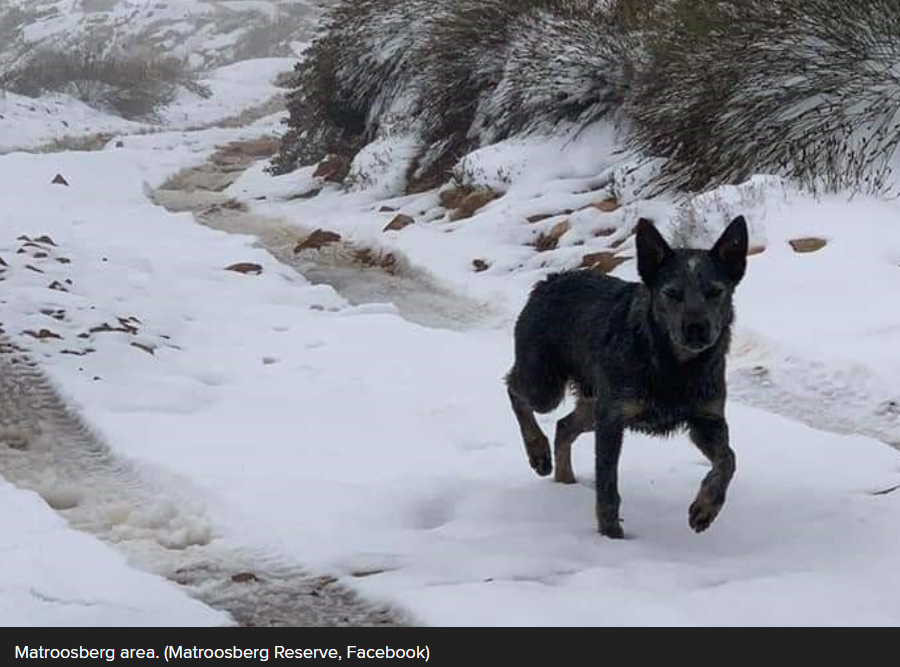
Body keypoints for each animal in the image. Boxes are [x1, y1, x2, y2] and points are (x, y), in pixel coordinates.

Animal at [506, 217, 752, 540]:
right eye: (672, 293)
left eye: (715, 291)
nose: (696, 328)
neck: (675, 367)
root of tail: (550, 280)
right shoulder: (612, 418)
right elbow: (607, 487)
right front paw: (611, 536)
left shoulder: (706, 419)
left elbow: (729, 460)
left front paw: (705, 508)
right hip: (546, 385)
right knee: (513, 388)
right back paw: (538, 452)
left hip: (592, 401)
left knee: (563, 426)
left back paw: (565, 481)